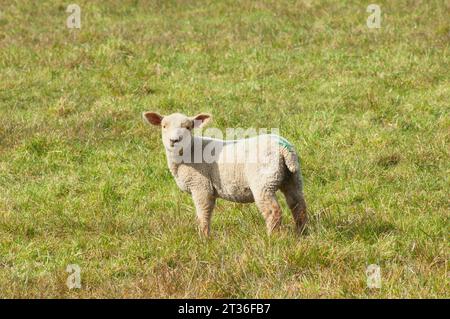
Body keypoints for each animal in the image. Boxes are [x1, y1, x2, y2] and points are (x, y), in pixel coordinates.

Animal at [142, 112, 308, 238]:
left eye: (188, 127)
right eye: (164, 126)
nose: (174, 140)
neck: (188, 153)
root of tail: (283, 148)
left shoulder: (201, 185)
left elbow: (203, 214)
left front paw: (204, 239)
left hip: (263, 181)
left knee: (273, 211)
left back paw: (272, 237)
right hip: (292, 177)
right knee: (298, 205)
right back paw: (301, 233)